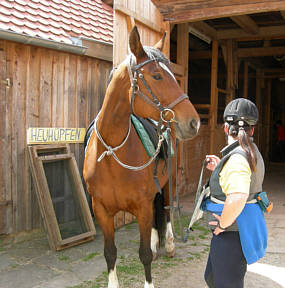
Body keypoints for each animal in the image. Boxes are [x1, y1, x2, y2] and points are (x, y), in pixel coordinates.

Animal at [82, 25, 199, 286]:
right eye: (157, 76)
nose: (193, 122)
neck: (111, 153)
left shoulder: (142, 207)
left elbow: (143, 253)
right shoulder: (102, 210)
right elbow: (110, 253)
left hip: (168, 183)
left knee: (165, 209)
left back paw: (169, 245)